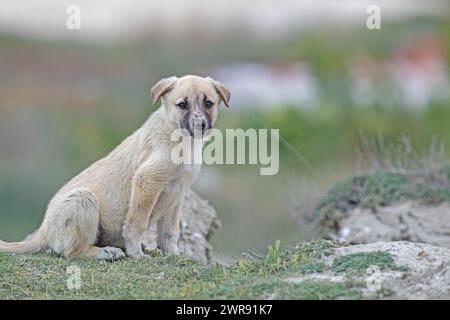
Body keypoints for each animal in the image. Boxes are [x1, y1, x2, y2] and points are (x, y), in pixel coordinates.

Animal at [0, 75, 230, 260]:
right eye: (182, 104)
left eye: (208, 103)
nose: (200, 125)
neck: (178, 136)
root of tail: (42, 231)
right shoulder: (147, 180)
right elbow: (137, 222)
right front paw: (136, 253)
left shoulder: (177, 194)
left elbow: (170, 232)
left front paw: (174, 255)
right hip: (82, 200)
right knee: (71, 251)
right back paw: (107, 252)